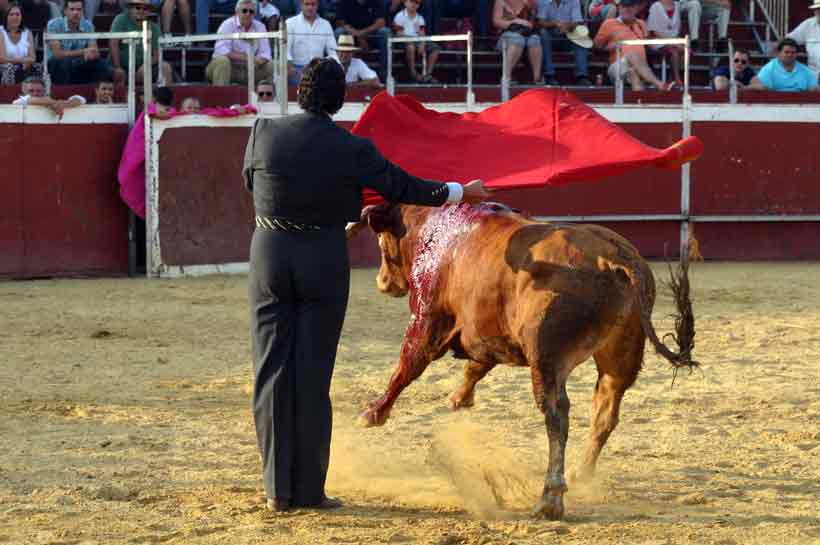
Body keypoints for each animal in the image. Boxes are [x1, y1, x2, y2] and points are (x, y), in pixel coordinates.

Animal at [348, 201, 700, 520]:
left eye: (381, 240)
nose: (383, 282)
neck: (431, 229)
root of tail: (615, 257)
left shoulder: (427, 320)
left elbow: (406, 367)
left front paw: (372, 414)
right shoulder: (488, 332)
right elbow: (476, 366)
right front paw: (459, 398)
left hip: (547, 357)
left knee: (557, 415)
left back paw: (550, 499)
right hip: (620, 357)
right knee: (605, 411)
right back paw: (580, 473)